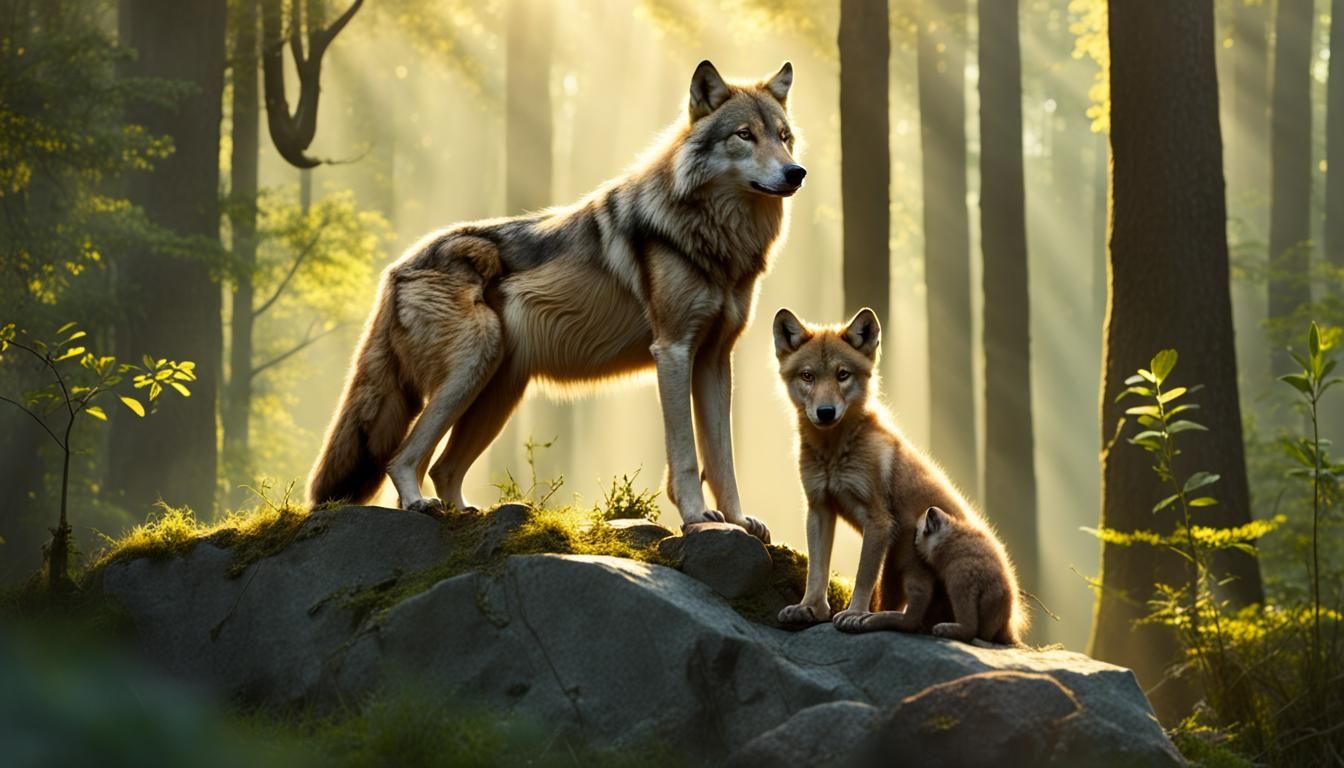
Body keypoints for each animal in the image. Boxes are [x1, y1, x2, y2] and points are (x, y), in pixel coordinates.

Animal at [307, 60, 805, 540]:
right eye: (744, 135)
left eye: (784, 137)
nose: (796, 173)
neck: (718, 238)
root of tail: (397, 267)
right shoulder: (673, 350)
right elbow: (685, 455)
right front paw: (697, 516)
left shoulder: (715, 359)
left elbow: (723, 460)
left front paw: (738, 521)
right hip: (471, 367)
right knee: (404, 457)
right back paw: (419, 503)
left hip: (495, 393)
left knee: (444, 467)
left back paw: (465, 513)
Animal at [772, 307, 992, 633]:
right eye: (808, 376)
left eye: (842, 375)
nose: (825, 412)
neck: (833, 453)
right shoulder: (820, 508)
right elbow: (816, 570)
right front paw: (810, 608)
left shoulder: (878, 521)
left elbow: (863, 575)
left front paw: (854, 613)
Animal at [913, 505, 1027, 645]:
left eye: (920, 530)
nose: (931, 510)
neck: (952, 535)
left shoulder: (960, 574)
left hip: (959, 583)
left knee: (970, 629)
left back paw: (946, 629)